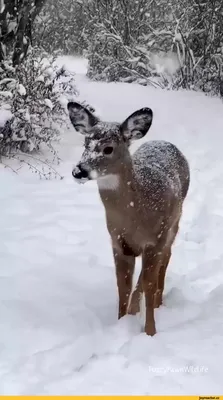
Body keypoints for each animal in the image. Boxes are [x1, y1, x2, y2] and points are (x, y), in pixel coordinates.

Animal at [68, 101, 190, 336]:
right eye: (86, 143)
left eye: (108, 148)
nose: (78, 171)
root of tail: (165, 142)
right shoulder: (118, 243)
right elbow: (122, 286)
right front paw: (121, 323)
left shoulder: (156, 240)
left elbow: (149, 284)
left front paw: (150, 332)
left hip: (174, 224)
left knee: (165, 261)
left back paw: (159, 303)